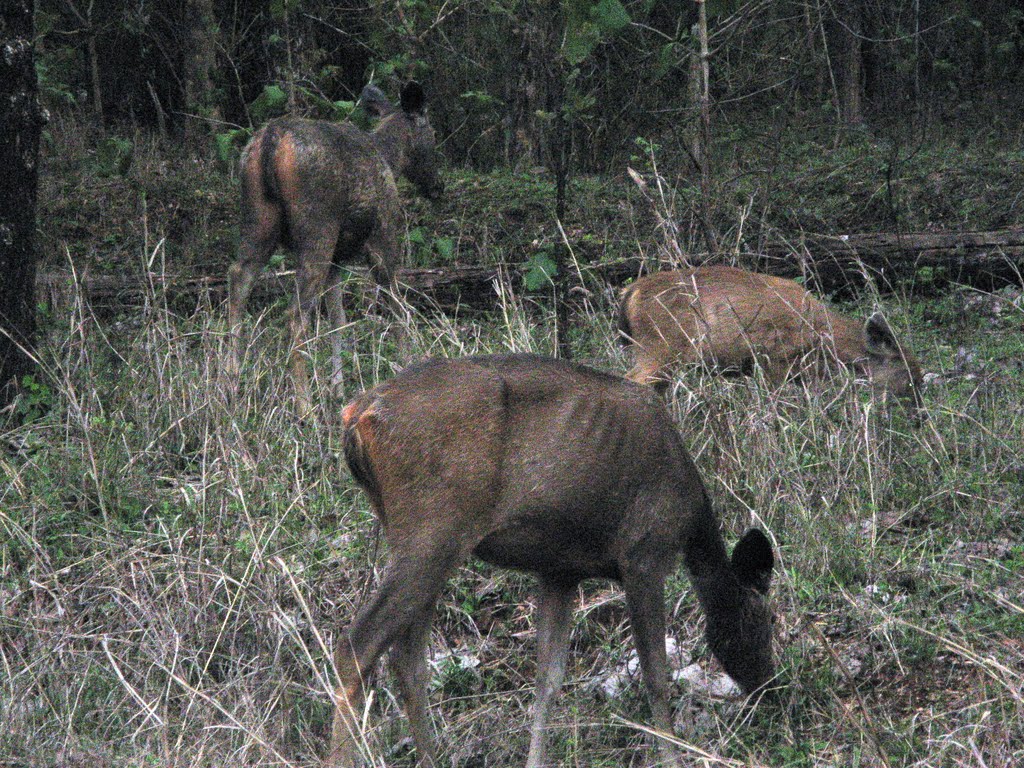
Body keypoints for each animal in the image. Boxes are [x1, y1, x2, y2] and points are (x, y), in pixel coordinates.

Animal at [226, 81, 442, 415]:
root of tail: (270, 141)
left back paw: (230, 384)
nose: (437, 186)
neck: (389, 159)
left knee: (238, 283)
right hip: (317, 230)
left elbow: (338, 320)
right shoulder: (384, 237)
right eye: (431, 132)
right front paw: (409, 365)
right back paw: (303, 406)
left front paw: (337, 388)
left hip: (257, 223)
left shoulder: (337, 261)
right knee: (296, 314)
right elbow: (397, 307)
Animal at [331, 356, 770, 768]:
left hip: (417, 537)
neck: (691, 517)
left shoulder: (559, 570)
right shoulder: (644, 553)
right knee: (357, 646)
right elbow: (656, 678)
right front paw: (674, 757)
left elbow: (548, 679)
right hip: (434, 529)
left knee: (408, 660)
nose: (770, 689)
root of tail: (356, 414)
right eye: (764, 624)